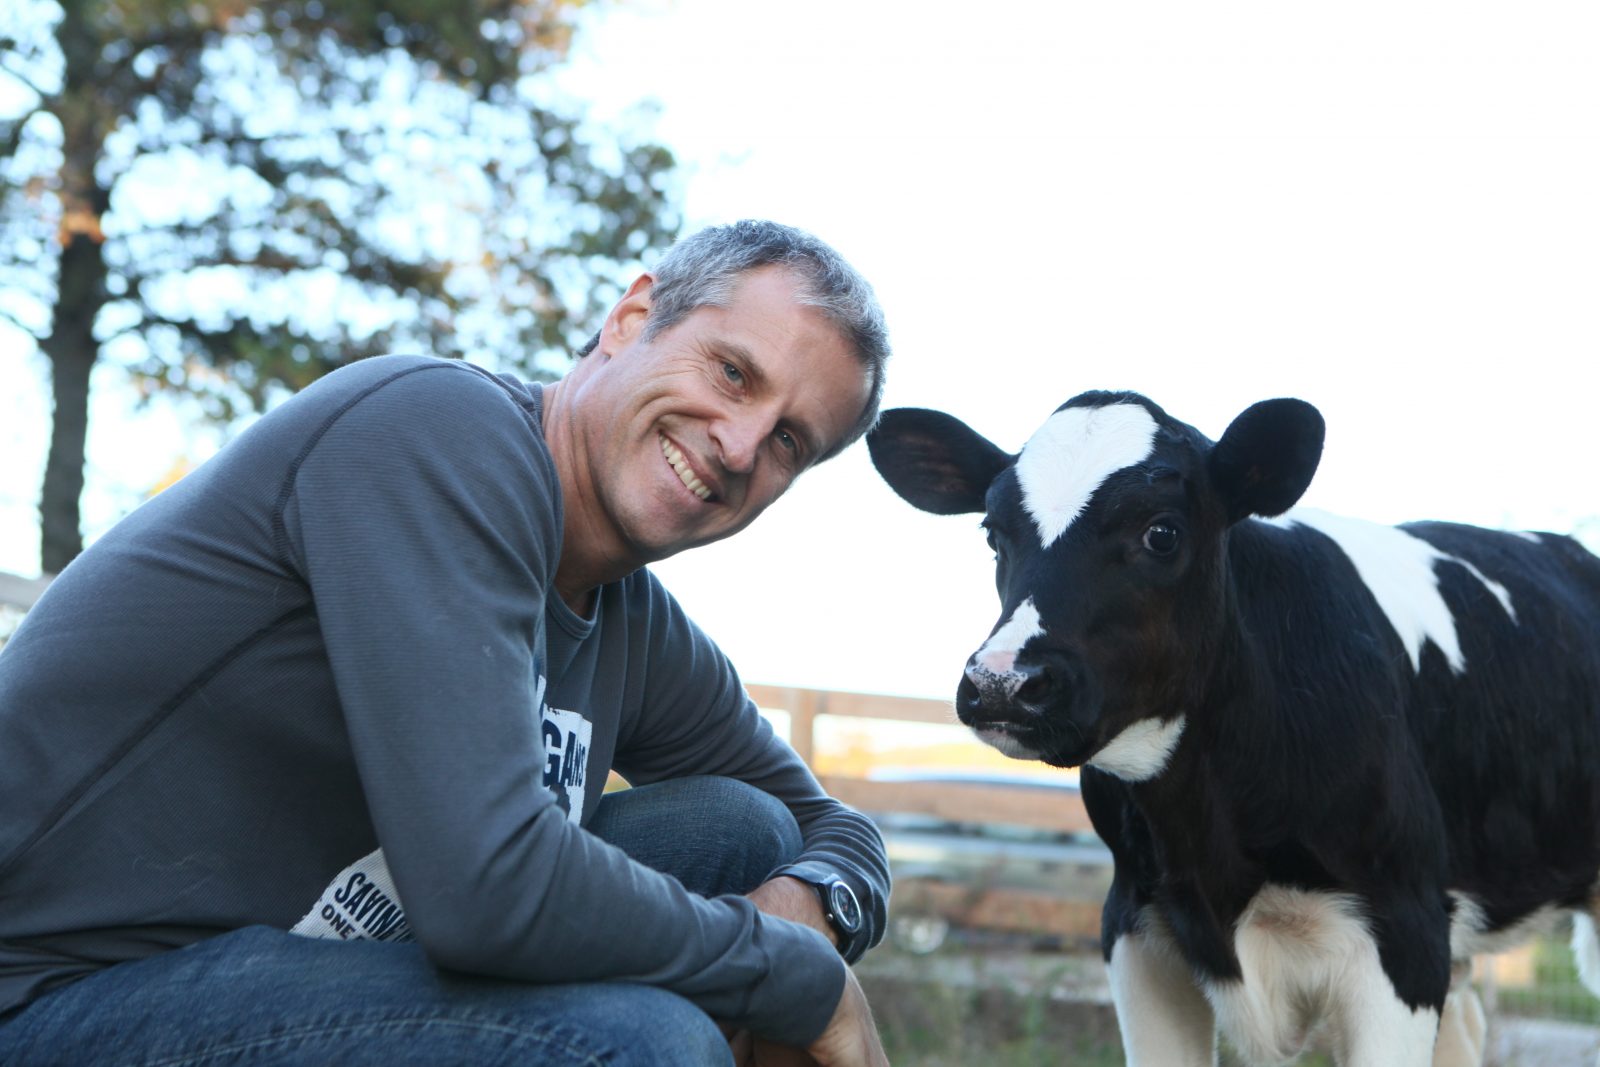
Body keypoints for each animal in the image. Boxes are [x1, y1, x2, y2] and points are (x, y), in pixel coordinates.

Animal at [870, 395, 1600, 1067]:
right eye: (994, 534)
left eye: (1162, 533)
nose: (1002, 682)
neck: (1212, 840)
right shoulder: (1135, 927)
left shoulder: (1403, 933)